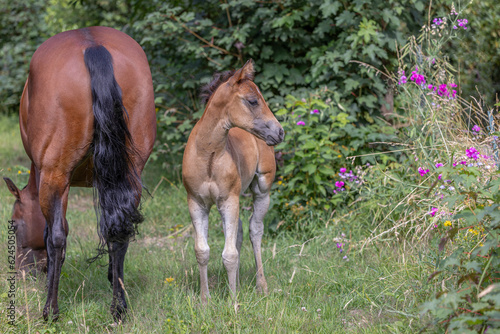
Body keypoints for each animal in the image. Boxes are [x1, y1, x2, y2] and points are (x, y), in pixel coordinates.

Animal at [183, 60, 286, 302]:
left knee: (255, 230)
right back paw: (238, 284)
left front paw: (233, 302)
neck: (208, 155)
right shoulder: (197, 203)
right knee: (238, 232)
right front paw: (205, 300)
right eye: (253, 100)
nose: (280, 132)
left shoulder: (229, 200)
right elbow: (202, 251)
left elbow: (229, 254)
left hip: (262, 190)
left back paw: (261, 286)